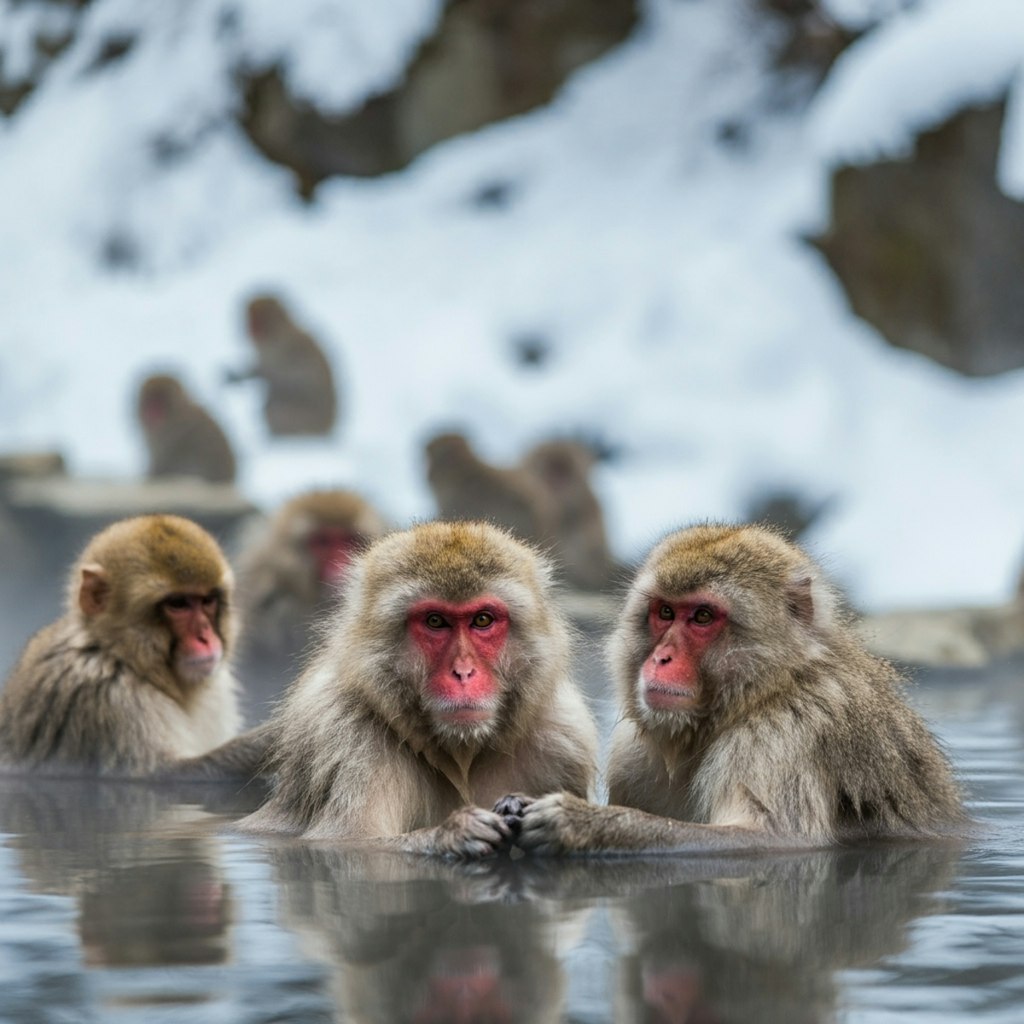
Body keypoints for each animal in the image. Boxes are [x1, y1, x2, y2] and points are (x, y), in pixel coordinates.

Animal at [231, 296, 339, 440]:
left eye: (257, 321)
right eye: (250, 319)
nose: (250, 330)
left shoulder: (286, 349)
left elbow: (296, 383)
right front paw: (239, 376)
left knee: (279, 409)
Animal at [516, 528, 970, 856]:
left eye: (702, 616)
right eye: (665, 612)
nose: (661, 658)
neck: (763, 690)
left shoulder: (783, 734)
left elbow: (772, 839)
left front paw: (583, 824)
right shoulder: (633, 756)